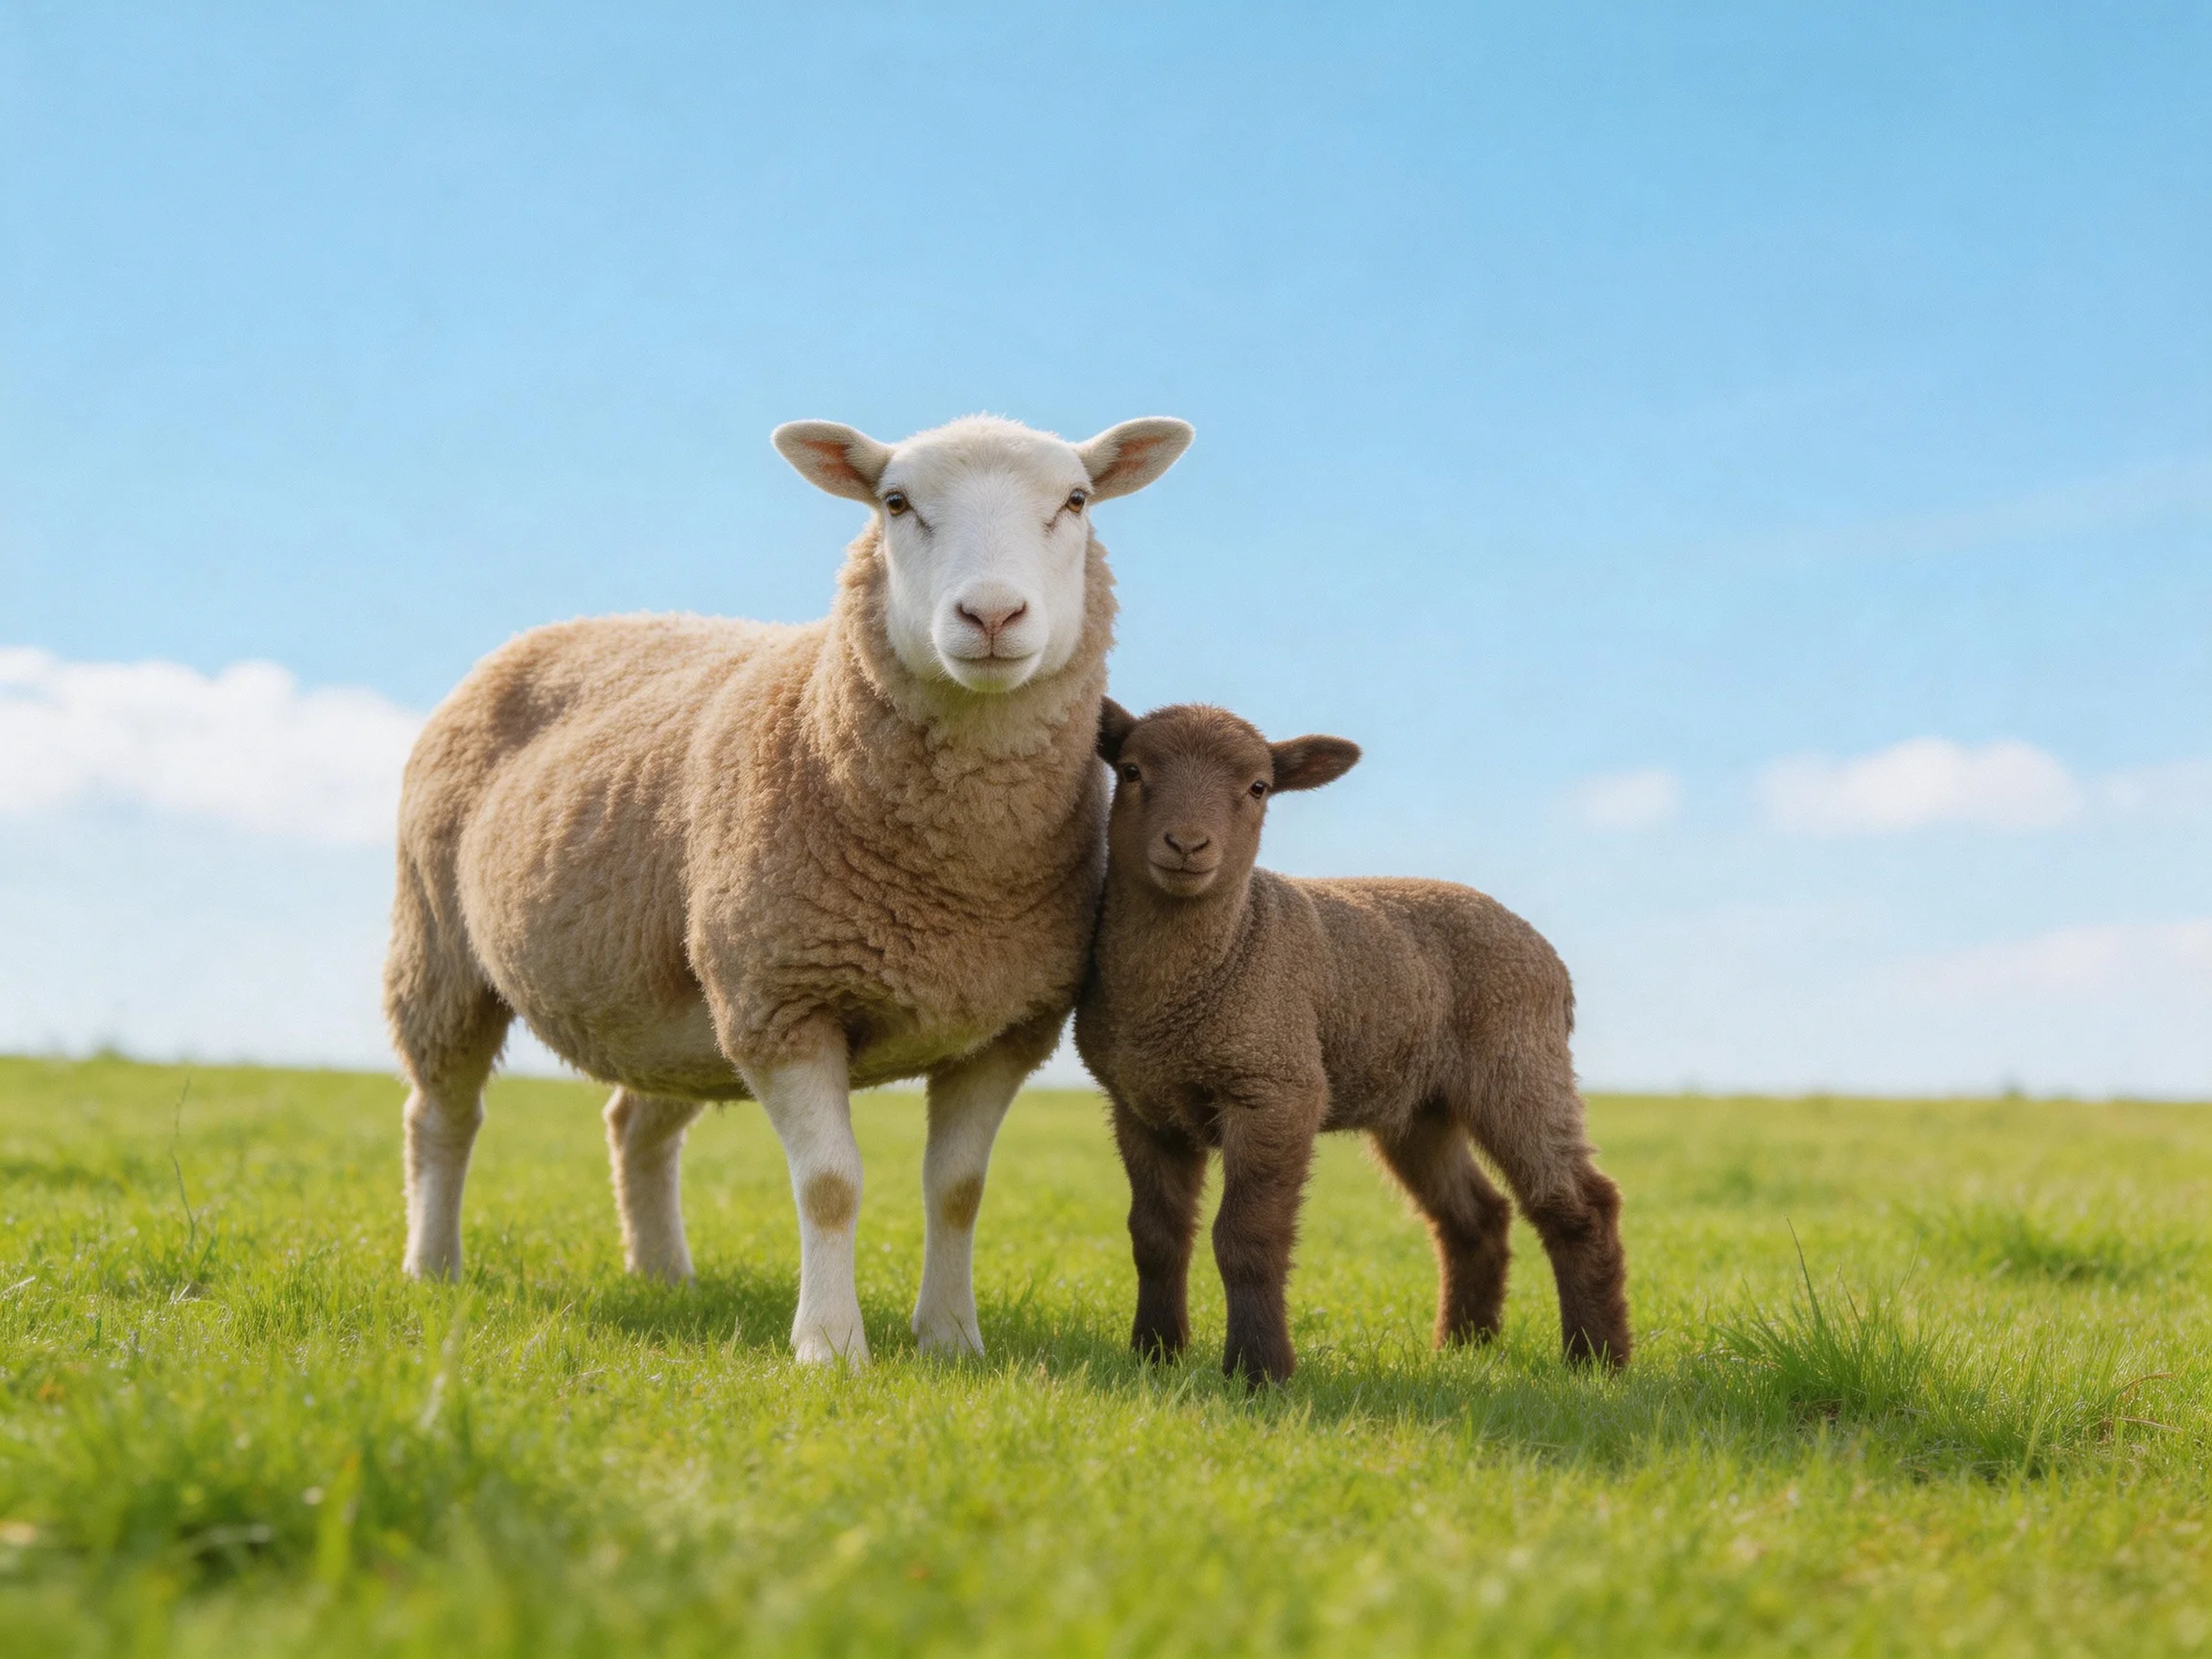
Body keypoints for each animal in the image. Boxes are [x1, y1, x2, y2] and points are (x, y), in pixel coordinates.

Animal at [383, 414, 1193, 1365]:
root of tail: (559, 626)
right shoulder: (784, 1000)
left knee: (635, 1127)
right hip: (441, 949)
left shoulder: (1004, 1028)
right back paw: (432, 1267)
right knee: (442, 1116)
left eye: (1076, 500)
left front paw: (951, 1339)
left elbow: (959, 1189)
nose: (991, 614)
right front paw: (831, 1348)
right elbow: (831, 1185)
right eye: (895, 502)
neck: (954, 881)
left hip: (677, 1003)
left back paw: (664, 1276)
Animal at [1074, 701, 1631, 1384]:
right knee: (1475, 1217)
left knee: (1579, 1204)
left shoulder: (1276, 1085)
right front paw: (1154, 1356)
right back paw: (1464, 1348)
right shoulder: (1141, 1105)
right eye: (1130, 770)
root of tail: (1548, 955)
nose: (1186, 846)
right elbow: (1155, 1237)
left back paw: (1598, 1361)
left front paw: (1259, 1371)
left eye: (1258, 787)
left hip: (1519, 1060)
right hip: (1422, 1107)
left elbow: (1247, 1238)